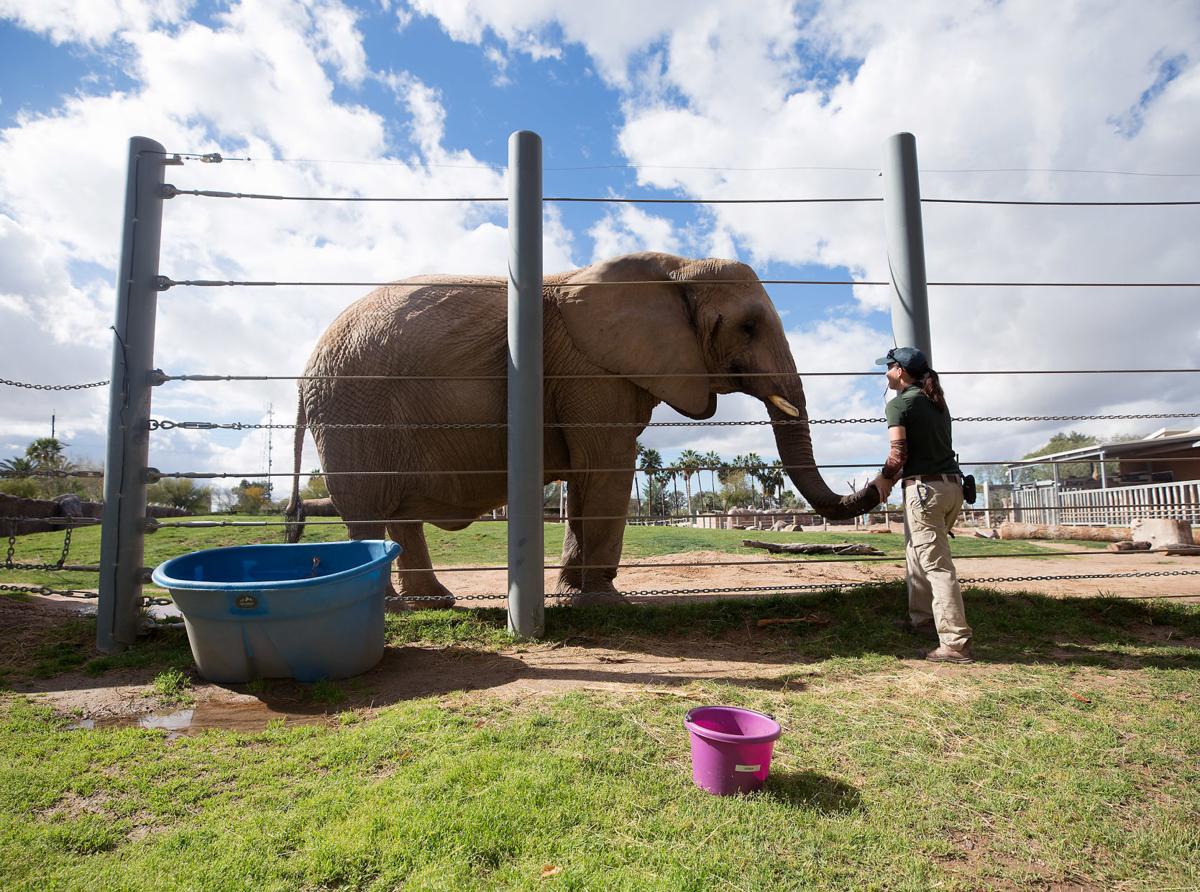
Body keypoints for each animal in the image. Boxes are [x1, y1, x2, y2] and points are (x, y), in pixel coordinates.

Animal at [283, 254, 883, 609]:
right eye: (749, 326)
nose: (877, 478)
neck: (673, 268)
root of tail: (303, 372)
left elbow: (589, 473)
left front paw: (577, 595)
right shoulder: (591, 367)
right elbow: (608, 465)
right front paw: (605, 602)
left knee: (398, 517)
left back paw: (437, 602)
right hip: (354, 410)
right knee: (368, 511)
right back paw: (392, 607)